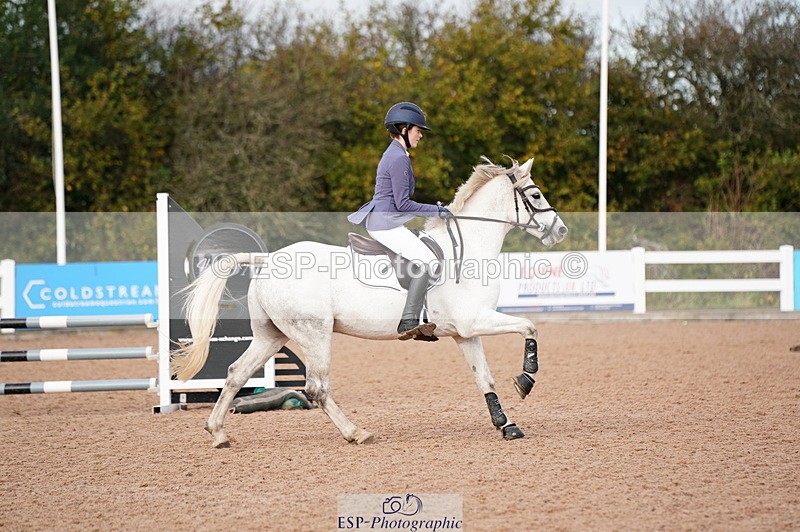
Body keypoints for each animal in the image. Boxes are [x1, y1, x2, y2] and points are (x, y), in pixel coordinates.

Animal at [172, 156, 568, 447]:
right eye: (535, 195)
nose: (561, 230)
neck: (468, 248)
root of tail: (268, 260)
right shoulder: (476, 319)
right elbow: (529, 326)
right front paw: (526, 379)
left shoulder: (465, 332)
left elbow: (484, 378)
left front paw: (507, 424)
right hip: (315, 333)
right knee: (316, 387)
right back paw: (356, 432)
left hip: (271, 336)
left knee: (237, 373)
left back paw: (218, 433)